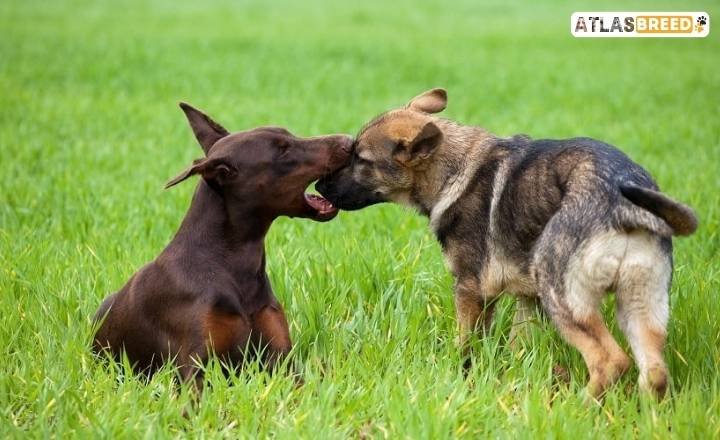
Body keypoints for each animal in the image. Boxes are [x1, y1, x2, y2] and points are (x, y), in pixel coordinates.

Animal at [316, 88, 696, 398]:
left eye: (361, 160)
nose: (319, 186)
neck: (452, 170)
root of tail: (622, 204)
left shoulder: (471, 289)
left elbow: (466, 343)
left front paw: (461, 376)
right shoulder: (527, 299)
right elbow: (518, 345)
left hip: (563, 297)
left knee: (610, 360)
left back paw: (582, 405)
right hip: (641, 303)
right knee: (654, 372)